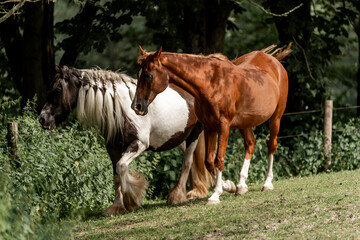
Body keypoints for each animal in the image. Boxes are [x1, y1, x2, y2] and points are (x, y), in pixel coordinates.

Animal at [39, 65, 219, 214]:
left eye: (57, 90)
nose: (42, 119)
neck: (122, 109)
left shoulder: (139, 144)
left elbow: (122, 167)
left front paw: (132, 199)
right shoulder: (113, 148)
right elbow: (116, 175)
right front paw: (117, 206)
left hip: (194, 134)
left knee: (187, 161)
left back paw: (178, 195)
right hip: (179, 138)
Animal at [132, 44, 292, 203]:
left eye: (148, 75)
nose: (136, 106)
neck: (211, 83)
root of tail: (274, 62)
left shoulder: (223, 126)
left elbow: (219, 159)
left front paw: (215, 195)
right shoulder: (209, 127)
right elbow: (209, 161)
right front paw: (228, 186)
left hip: (276, 118)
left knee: (271, 145)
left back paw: (267, 183)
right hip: (244, 123)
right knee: (250, 144)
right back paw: (241, 185)